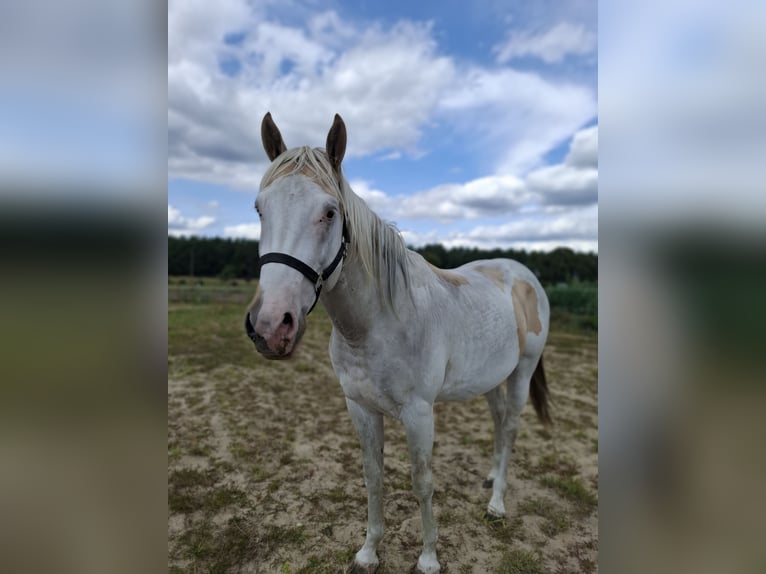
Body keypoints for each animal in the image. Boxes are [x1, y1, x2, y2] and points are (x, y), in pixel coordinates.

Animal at [244, 112, 551, 574]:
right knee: (499, 423)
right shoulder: (360, 407)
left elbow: (421, 481)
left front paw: (428, 559)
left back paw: (497, 504)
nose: (270, 326)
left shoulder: (418, 413)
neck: (377, 323)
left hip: (522, 372)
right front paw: (368, 552)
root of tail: (523, 275)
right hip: (490, 378)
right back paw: (490, 480)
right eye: (260, 208)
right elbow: (373, 478)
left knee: (512, 427)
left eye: (330, 212)